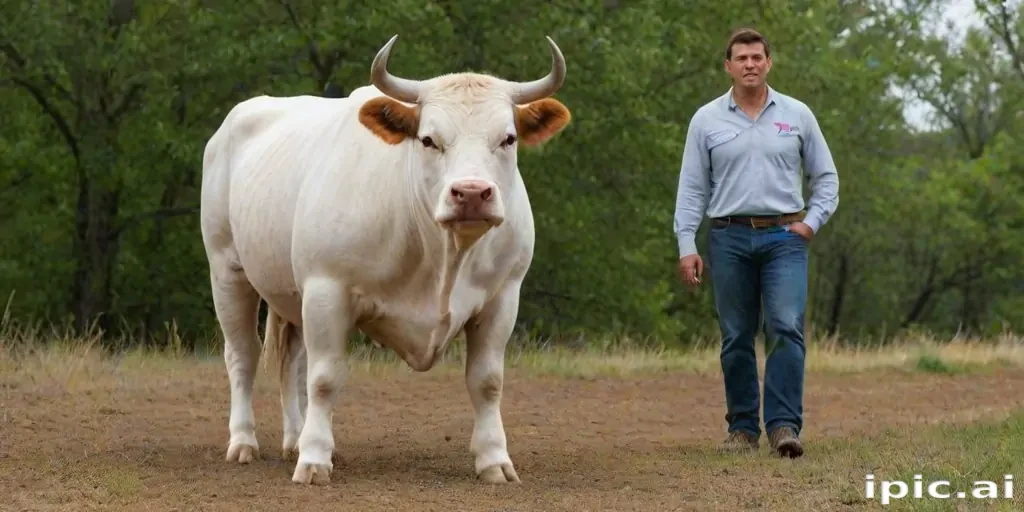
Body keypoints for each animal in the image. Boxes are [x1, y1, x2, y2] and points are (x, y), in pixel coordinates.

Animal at [199, 34, 571, 485]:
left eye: (509, 138)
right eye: (428, 139)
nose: (470, 193)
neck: (442, 255)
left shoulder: (503, 297)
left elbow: (487, 381)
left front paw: (494, 460)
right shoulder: (327, 289)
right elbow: (324, 379)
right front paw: (315, 459)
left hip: (291, 295)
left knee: (292, 362)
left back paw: (294, 438)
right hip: (228, 270)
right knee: (243, 356)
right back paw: (244, 441)